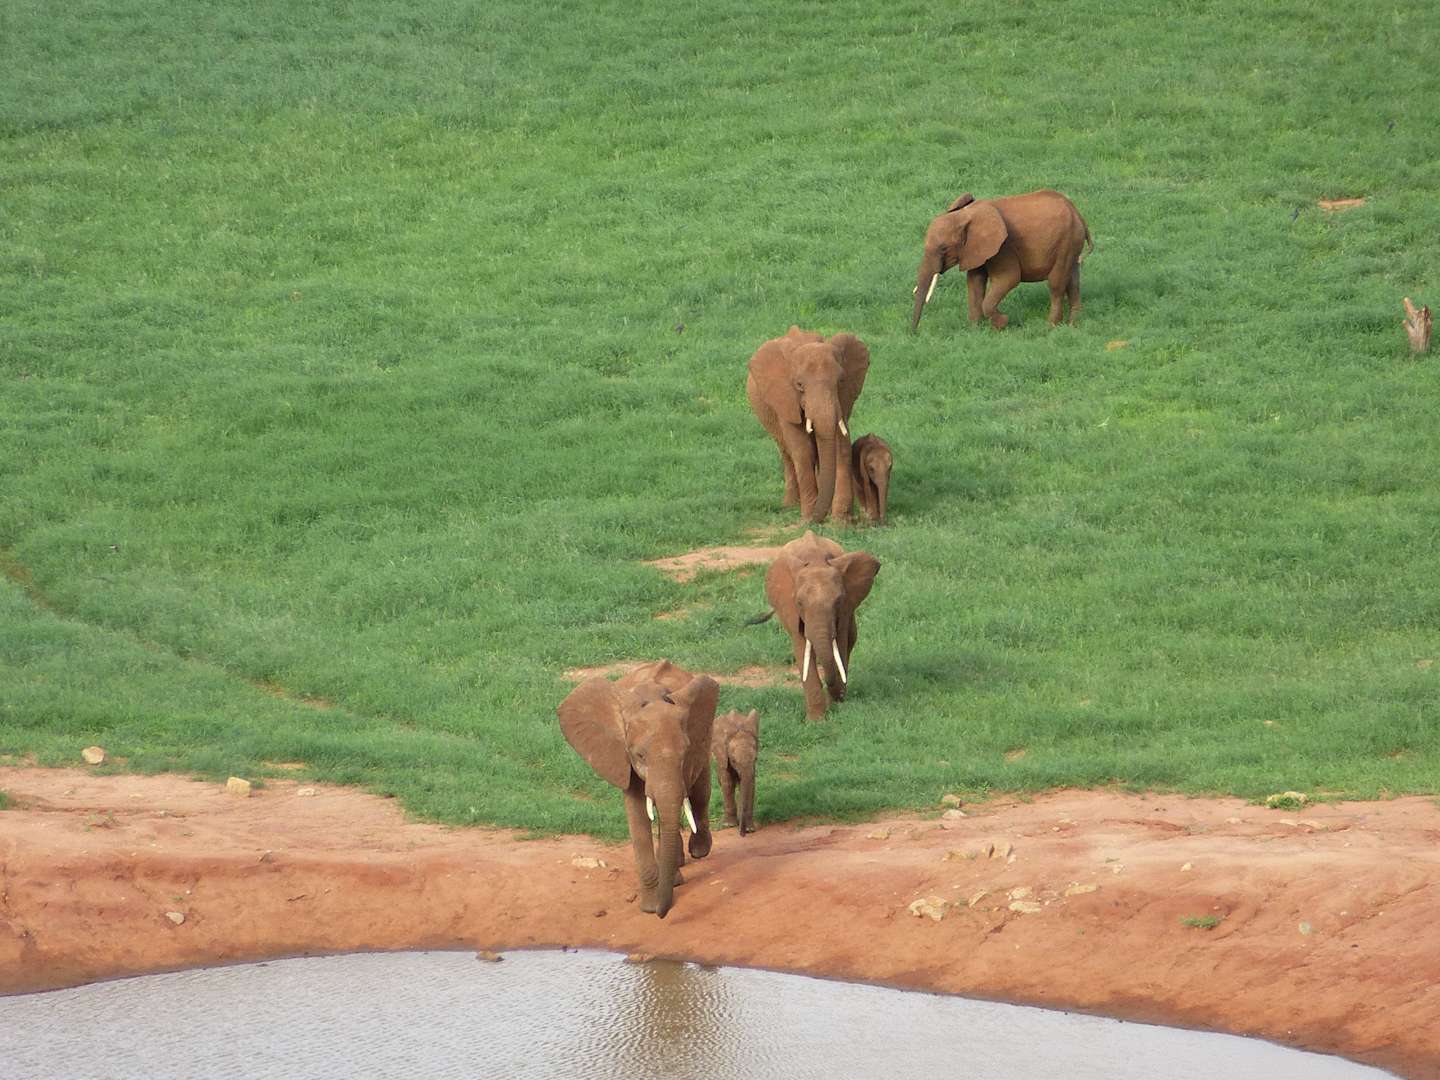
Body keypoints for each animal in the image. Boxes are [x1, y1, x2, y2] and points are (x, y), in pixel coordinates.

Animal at [557, 659, 716, 918]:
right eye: (640, 756)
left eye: (684, 754)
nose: (663, 913)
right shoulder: (622, 756)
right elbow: (637, 815)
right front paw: (651, 907)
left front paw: (667, 889)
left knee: (701, 792)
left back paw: (698, 852)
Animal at [746, 326, 870, 523]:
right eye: (799, 385)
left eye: (841, 381)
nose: (818, 519)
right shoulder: (785, 399)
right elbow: (802, 451)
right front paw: (808, 519)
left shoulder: (842, 400)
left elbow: (841, 447)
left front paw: (841, 521)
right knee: (787, 452)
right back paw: (790, 505)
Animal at [758, 530, 881, 720]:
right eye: (799, 603)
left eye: (838, 601)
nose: (838, 699)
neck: (815, 561)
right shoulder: (792, 612)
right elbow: (801, 648)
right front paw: (816, 721)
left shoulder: (844, 610)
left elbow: (840, 644)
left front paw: (835, 708)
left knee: (851, 639)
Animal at [911, 189, 1091, 331]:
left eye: (943, 249)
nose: (913, 333)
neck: (966, 214)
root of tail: (1077, 213)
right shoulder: (975, 249)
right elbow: (975, 281)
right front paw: (976, 329)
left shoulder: (1004, 248)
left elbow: (1008, 278)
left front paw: (1002, 324)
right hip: (1072, 242)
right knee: (1073, 280)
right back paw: (1073, 325)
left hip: (1066, 241)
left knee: (1056, 283)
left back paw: (1051, 326)